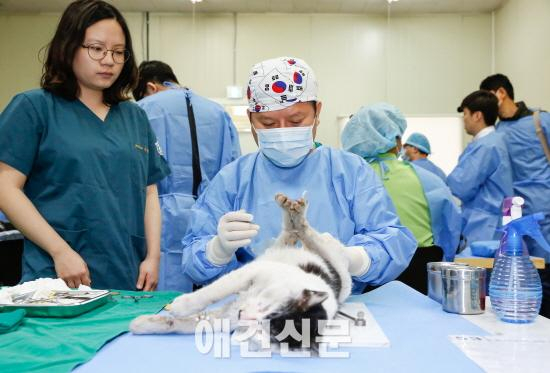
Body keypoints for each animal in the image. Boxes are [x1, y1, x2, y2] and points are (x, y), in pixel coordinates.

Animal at [132, 192, 352, 348]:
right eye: (271, 309)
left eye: (267, 330)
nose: (244, 315)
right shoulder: (251, 272)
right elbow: (212, 292)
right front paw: (182, 305)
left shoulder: (227, 316)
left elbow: (188, 323)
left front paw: (146, 323)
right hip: (326, 256)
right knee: (304, 233)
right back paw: (294, 216)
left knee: (291, 235)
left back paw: (292, 221)